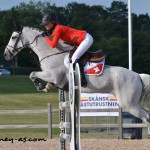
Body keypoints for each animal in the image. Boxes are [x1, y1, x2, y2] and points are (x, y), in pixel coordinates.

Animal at [2, 25, 150, 135]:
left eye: (13, 37)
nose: (6, 55)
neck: (50, 53)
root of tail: (137, 76)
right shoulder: (54, 80)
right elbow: (39, 78)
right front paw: (44, 87)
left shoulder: (53, 76)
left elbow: (32, 73)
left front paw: (38, 85)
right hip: (133, 103)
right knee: (147, 114)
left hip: (128, 104)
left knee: (146, 117)